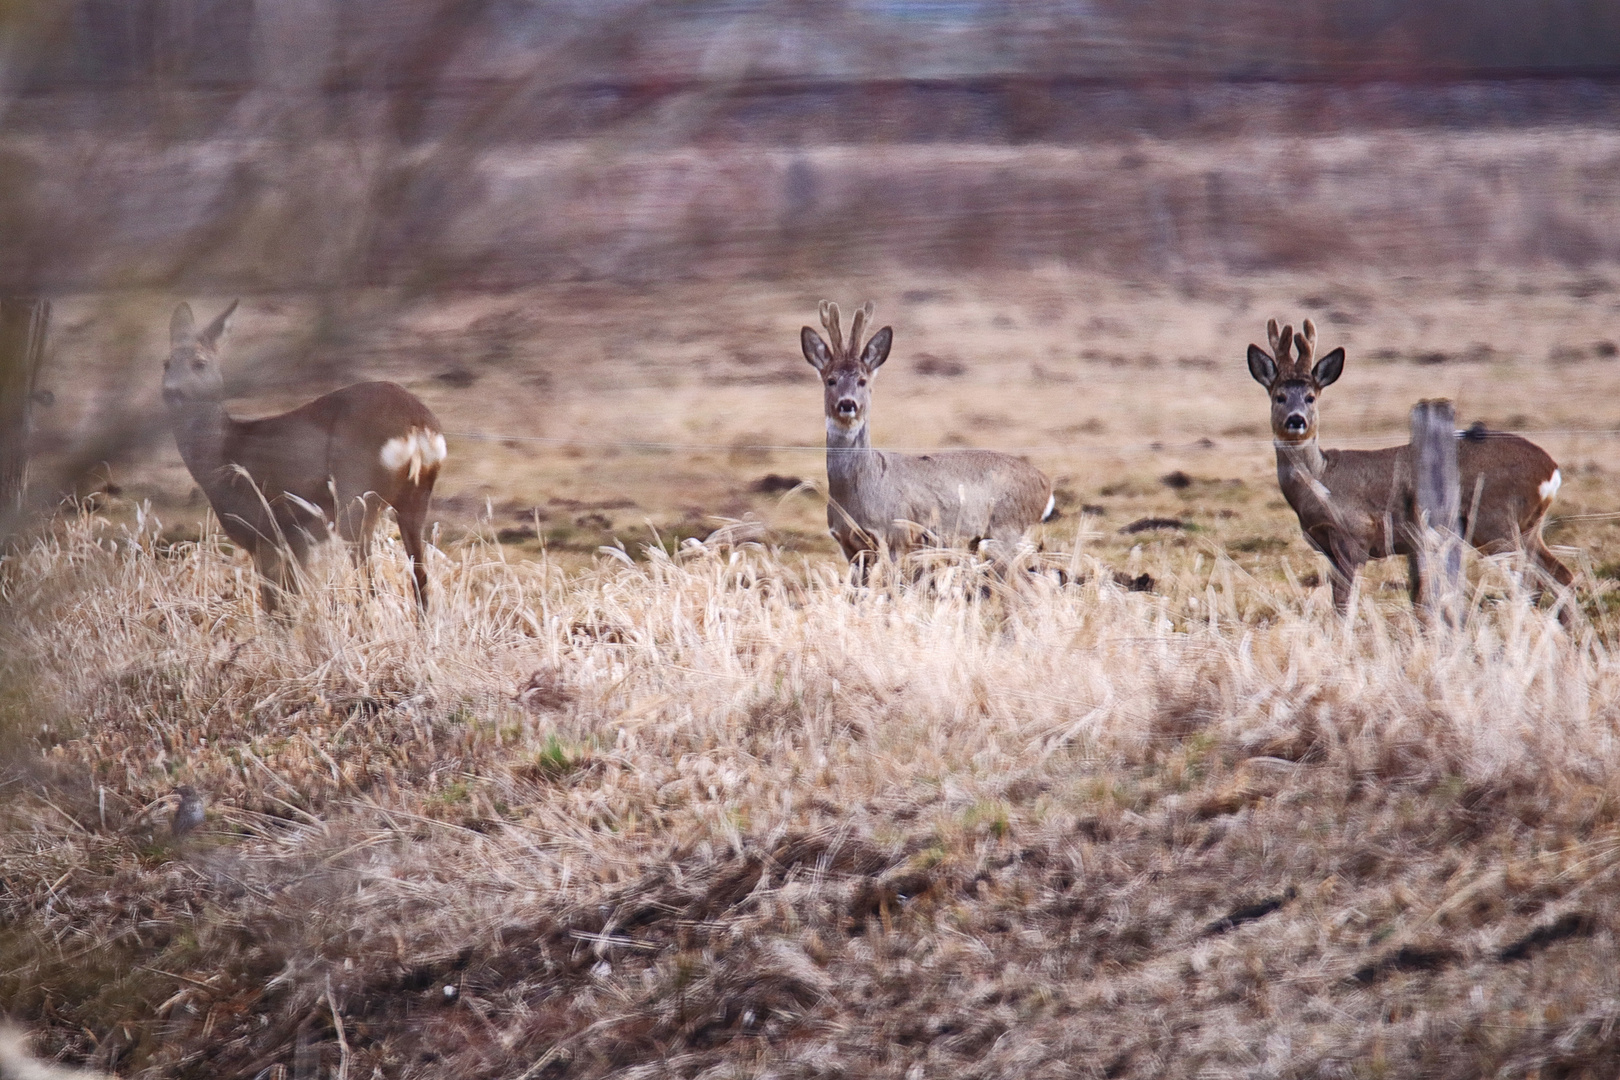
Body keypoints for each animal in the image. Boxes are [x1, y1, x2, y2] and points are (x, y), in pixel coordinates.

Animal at [162, 299, 447, 612]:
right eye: (166, 363)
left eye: (199, 363)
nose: (170, 391)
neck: (223, 454)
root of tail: (417, 424)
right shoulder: (297, 541)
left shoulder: (267, 534)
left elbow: (275, 608)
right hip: (415, 496)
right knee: (420, 578)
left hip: (356, 492)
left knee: (371, 584)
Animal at [803, 302, 1056, 573]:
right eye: (831, 380)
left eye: (862, 381)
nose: (847, 404)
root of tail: (1046, 485)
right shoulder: (850, 547)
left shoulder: (897, 536)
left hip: (1007, 530)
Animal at [1244, 317, 1574, 612]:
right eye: (1279, 396)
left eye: (1311, 397)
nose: (1296, 420)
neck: (1321, 480)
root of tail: (1550, 470)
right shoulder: (1329, 547)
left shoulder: (1355, 537)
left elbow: (1343, 605)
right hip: (1526, 527)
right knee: (1562, 577)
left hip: (1496, 521)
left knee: (1536, 582)